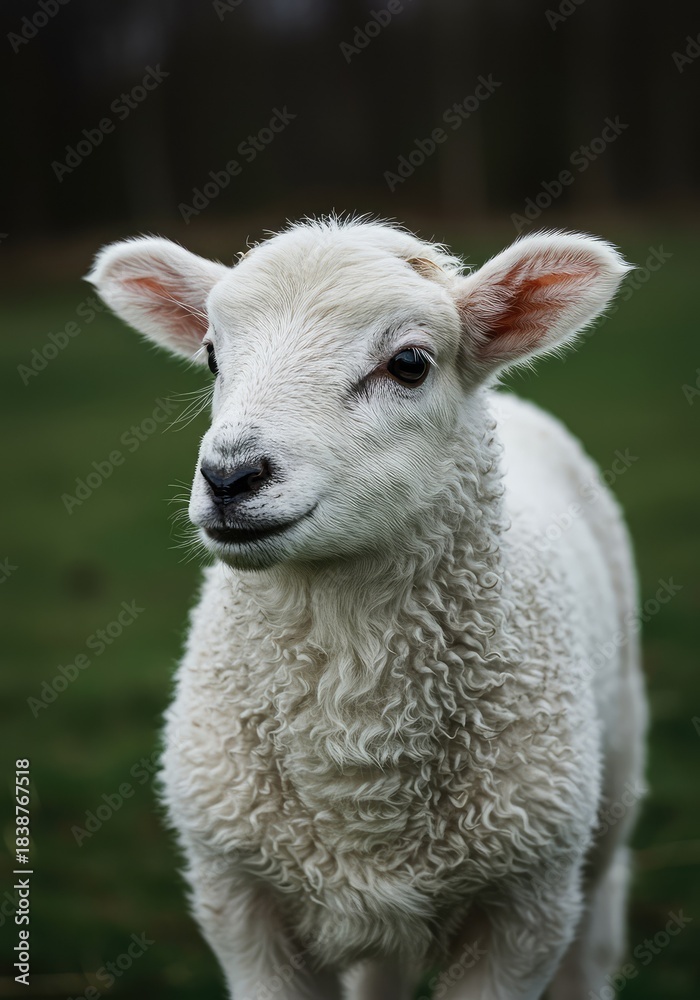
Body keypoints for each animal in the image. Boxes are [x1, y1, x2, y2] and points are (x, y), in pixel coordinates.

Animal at [88, 218, 647, 1000]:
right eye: (211, 356)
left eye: (409, 363)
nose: (229, 477)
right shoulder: (238, 899)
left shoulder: (524, 910)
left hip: (607, 800)